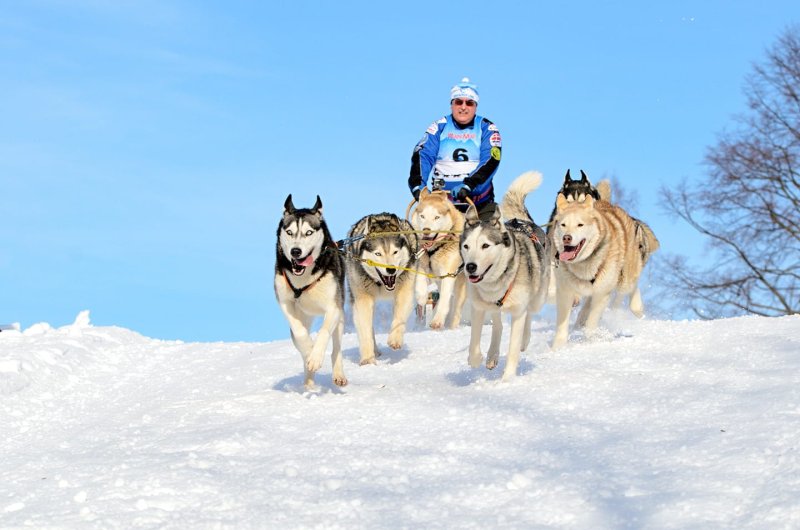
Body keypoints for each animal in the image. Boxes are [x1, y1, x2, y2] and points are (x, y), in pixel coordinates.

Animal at [272, 194, 346, 388]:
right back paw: (309, 383)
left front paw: (315, 356)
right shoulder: (286, 303)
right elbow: (300, 333)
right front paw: (309, 351)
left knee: (336, 348)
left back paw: (338, 374)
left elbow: (324, 332)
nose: (295, 251)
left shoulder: (333, 308)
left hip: (340, 319)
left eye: (309, 233)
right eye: (289, 232)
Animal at [346, 210, 418, 364]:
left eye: (395, 252)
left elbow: (399, 316)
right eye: (377, 253)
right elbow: (365, 330)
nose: (391, 270)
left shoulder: (405, 292)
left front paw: (395, 339)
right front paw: (368, 360)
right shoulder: (363, 300)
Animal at [412, 188, 468, 328]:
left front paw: (437, 320)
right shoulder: (423, 264)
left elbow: (444, 300)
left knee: (456, 307)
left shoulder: (448, 273)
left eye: (436, 217)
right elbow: (420, 287)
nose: (426, 231)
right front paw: (422, 298)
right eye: (422, 216)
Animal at [460, 171, 548, 378]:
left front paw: (507, 379)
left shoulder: (518, 312)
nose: (470, 267)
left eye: (485, 245)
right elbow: (474, 343)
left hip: (537, 298)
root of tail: (525, 222)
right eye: (466, 246)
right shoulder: (478, 307)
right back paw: (492, 354)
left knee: (529, 314)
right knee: (498, 324)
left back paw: (524, 340)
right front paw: (476, 359)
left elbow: (514, 349)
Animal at [552, 192, 664, 348]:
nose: (566, 238)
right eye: (563, 225)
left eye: (580, 225)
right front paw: (556, 349)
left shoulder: (602, 293)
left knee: (631, 287)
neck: (583, 264)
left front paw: (590, 341)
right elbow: (562, 327)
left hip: (624, 280)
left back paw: (637, 307)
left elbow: (591, 324)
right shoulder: (565, 292)